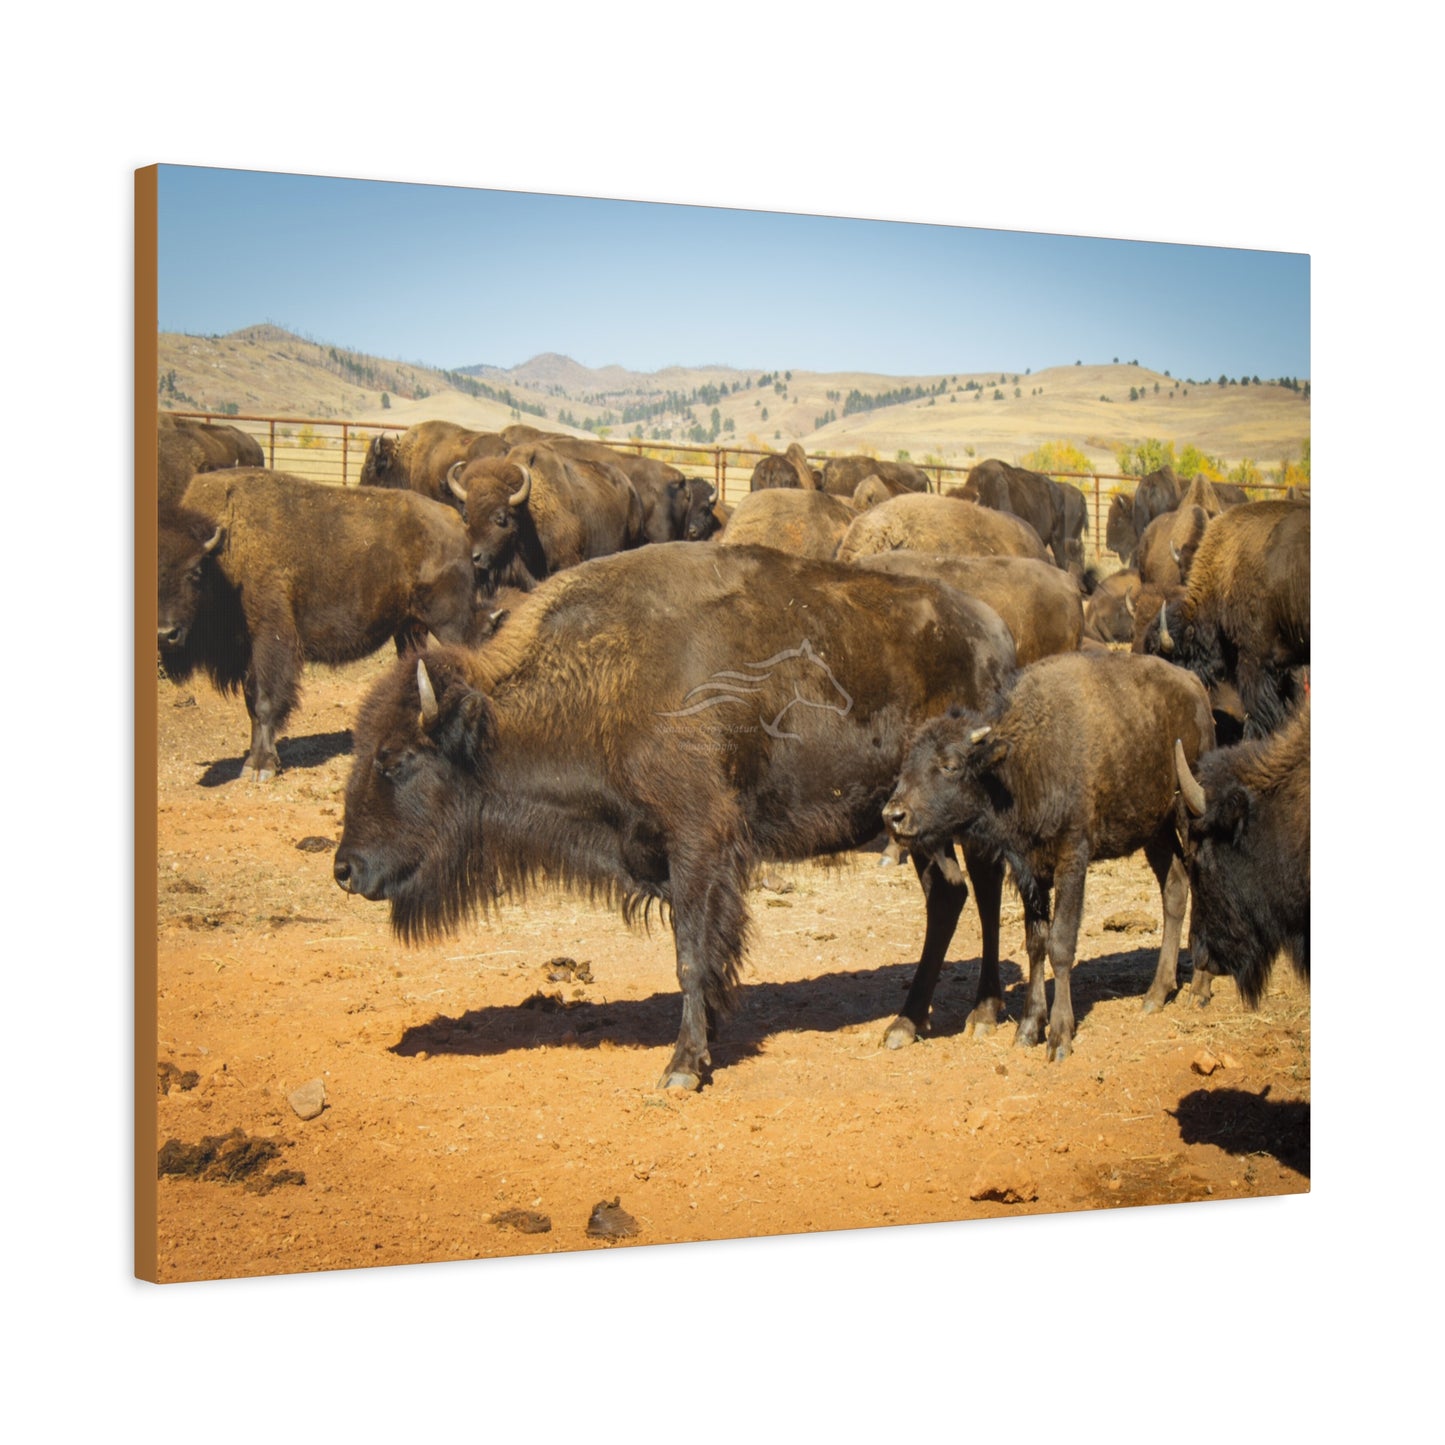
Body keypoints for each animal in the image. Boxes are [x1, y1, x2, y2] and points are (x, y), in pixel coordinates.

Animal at [162, 470, 480, 780]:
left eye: (195, 571)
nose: (166, 634)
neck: (225, 551)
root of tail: (456, 522)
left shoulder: (270, 641)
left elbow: (264, 702)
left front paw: (262, 767)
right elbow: (251, 704)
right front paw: (255, 763)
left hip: (450, 625)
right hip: (409, 630)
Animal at [332, 543, 1019, 1091]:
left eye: (395, 760)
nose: (345, 869)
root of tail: (997, 634)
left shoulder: (698, 845)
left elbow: (690, 953)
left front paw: (683, 1066)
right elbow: (704, 955)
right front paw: (707, 1035)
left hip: (965, 819)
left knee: (983, 891)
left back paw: (981, 1015)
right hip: (915, 826)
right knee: (949, 895)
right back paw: (907, 1022)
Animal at [883, 652, 1216, 1059]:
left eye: (950, 765)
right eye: (906, 765)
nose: (894, 815)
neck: (1022, 760)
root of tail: (1194, 686)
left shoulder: (1072, 858)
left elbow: (1061, 943)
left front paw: (1059, 1037)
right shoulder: (1030, 869)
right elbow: (1036, 943)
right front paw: (1028, 1028)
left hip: (1189, 812)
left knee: (1200, 882)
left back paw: (1199, 988)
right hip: (1156, 829)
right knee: (1175, 888)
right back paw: (1155, 994)